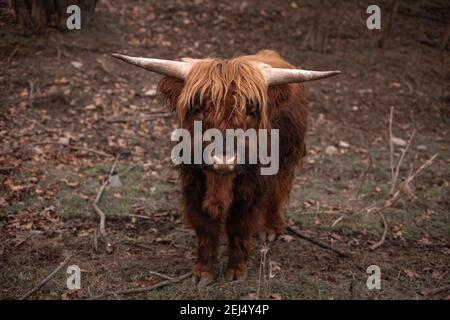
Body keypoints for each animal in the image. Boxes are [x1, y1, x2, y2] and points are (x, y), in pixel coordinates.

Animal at [114, 50, 340, 288]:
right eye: (199, 109)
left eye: (251, 111)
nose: (224, 160)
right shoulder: (193, 184)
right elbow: (205, 226)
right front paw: (203, 272)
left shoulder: (251, 187)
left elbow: (239, 225)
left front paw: (236, 270)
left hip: (288, 155)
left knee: (279, 189)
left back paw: (272, 228)